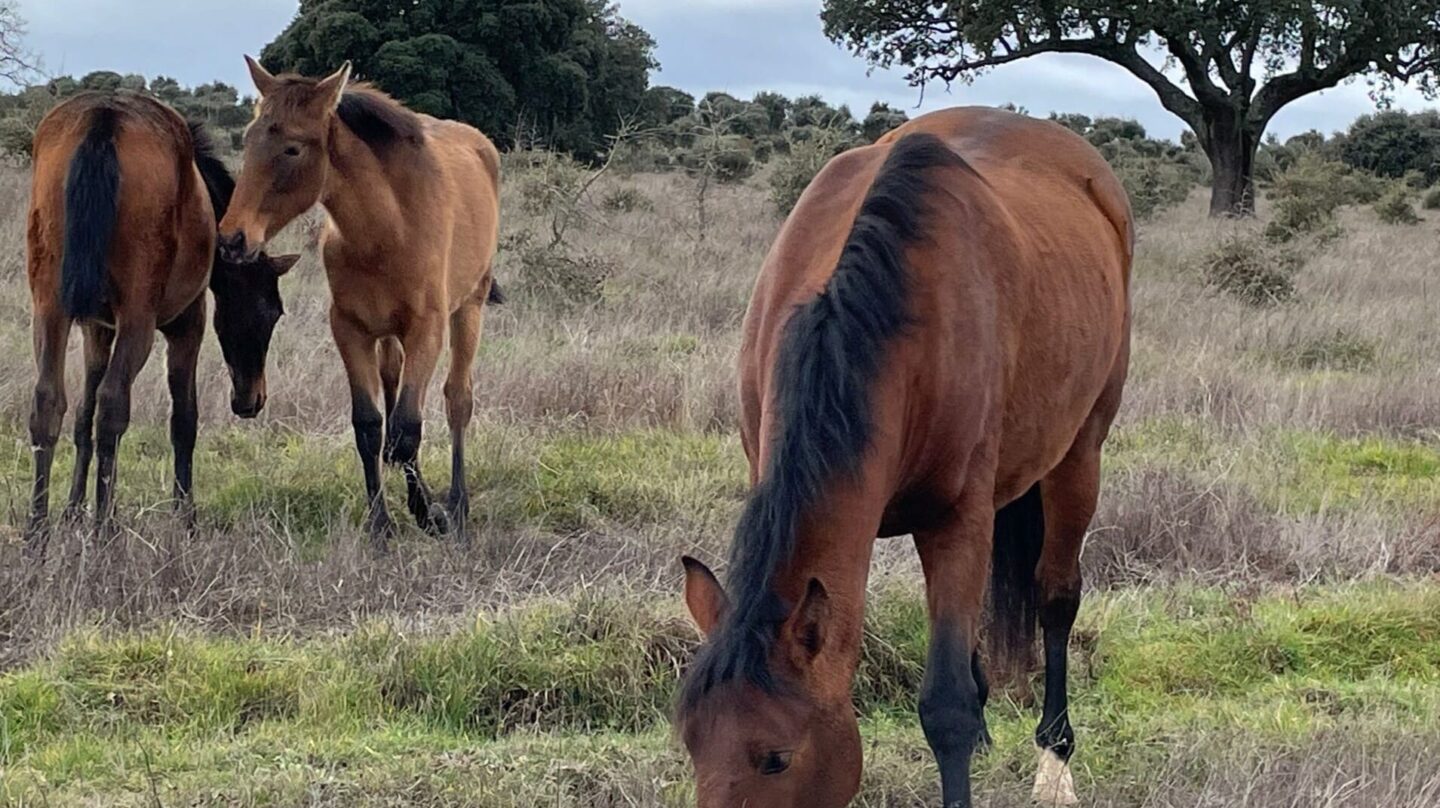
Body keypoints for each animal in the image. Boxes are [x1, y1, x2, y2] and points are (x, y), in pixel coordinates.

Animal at [25, 88, 299, 544]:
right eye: (271, 313)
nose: (252, 401)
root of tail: (104, 118)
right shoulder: (188, 324)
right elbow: (183, 421)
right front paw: (186, 518)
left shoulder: (97, 330)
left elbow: (82, 417)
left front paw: (73, 510)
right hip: (139, 322)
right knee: (113, 406)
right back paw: (105, 530)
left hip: (49, 310)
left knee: (50, 403)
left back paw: (36, 534)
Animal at [214, 56, 501, 547]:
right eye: (249, 138)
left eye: (293, 148)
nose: (233, 239)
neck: (387, 227)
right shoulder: (351, 330)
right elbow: (371, 426)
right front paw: (382, 525)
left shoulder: (427, 329)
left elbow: (407, 428)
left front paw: (431, 514)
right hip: (387, 337)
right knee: (393, 394)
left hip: (470, 309)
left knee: (457, 400)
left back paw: (458, 506)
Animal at [673, 108, 1134, 806]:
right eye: (692, 743)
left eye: (777, 758)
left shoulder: (958, 518)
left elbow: (945, 706)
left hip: (1080, 453)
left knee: (1056, 595)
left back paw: (1054, 762)